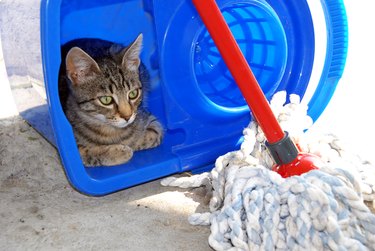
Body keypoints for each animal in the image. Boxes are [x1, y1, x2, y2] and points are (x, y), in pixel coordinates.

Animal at [58, 33, 163, 167]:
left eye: (133, 94)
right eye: (106, 100)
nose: (127, 116)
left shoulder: (150, 118)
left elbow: (153, 134)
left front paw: (132, 141)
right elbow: (84, 151)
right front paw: (120, 151)